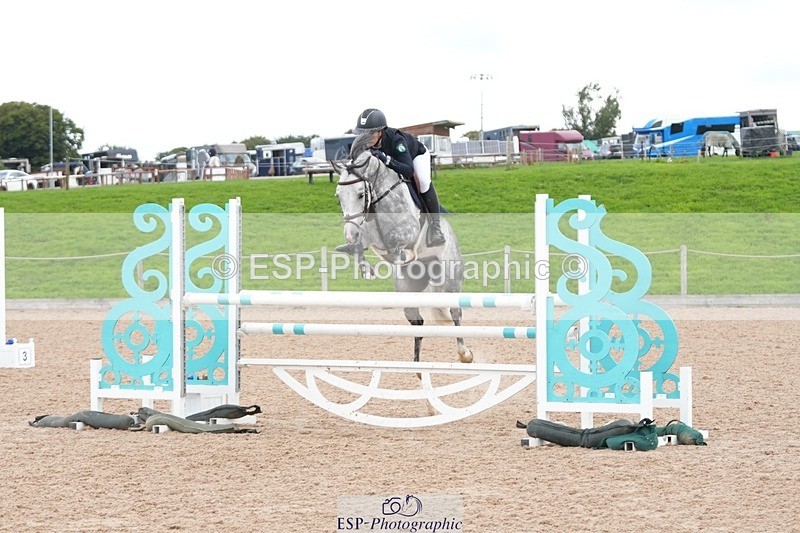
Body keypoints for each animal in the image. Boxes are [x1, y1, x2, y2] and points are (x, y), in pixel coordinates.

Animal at [331, 139, 473, 364]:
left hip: (449, 282)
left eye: (361, 194)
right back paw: (416, 366)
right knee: (418, 323)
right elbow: (360, 246)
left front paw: (399, 256)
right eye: (339, 197)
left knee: (455, 312)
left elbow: (396, 242)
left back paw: (464, 354)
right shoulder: (369, 235)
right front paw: (365, 268)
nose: (349, 234)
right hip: (408, 291)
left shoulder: (408, 232)